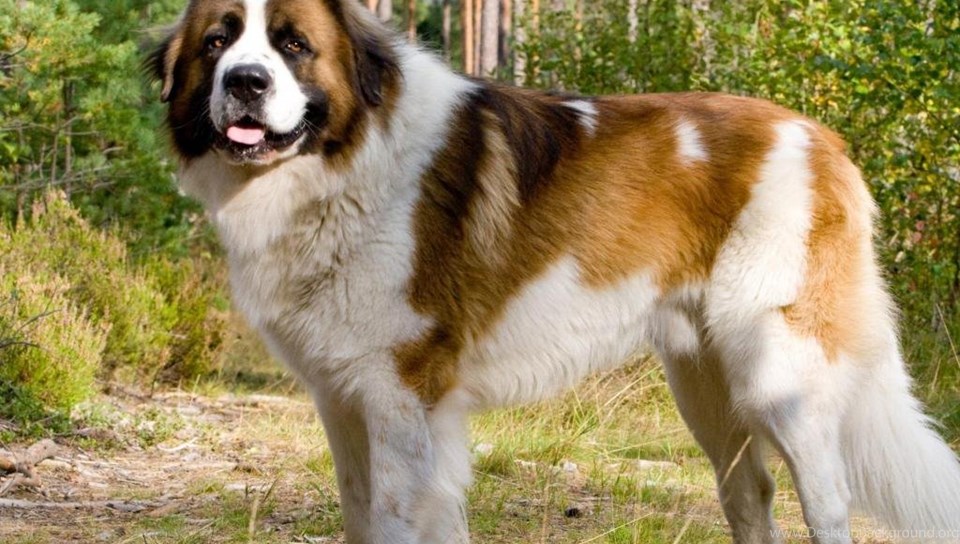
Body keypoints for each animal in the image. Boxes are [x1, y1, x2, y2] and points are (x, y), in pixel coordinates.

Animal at [150, 1, 960, 542]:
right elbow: (361, 515)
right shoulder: (344, 399)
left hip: (779, 374)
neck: (339, 164)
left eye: (293, 46)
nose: (246, 81)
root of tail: (823, 140)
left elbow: (396, 520)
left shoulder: (403, 400)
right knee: (751, 494)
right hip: (704, 382)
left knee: (824, 500)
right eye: (219, 42)